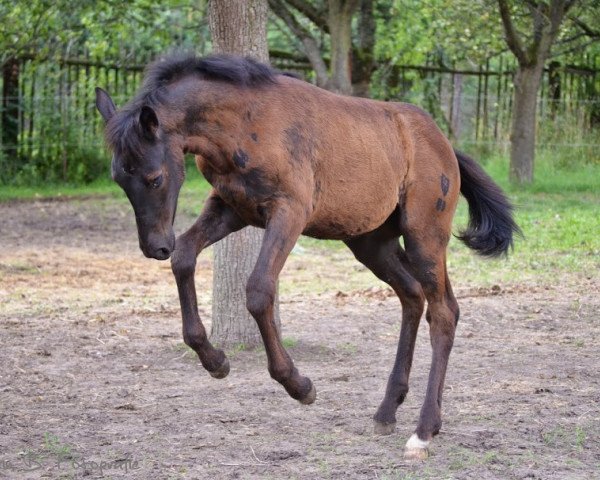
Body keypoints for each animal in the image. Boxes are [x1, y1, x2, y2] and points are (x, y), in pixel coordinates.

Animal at [95, 53, 520, 462]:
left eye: (154, 177)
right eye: (118, 178)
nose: (154, 247)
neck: (245, 123)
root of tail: (445, 146)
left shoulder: (289, 212)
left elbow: (258, 290)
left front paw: (298, 384)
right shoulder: (232, 209)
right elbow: (184, 256)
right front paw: (215, 361)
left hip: (423, 236)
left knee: (443, 311)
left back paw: (424, 431)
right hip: (370, 243)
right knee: (413, 296)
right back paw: (387, 410)